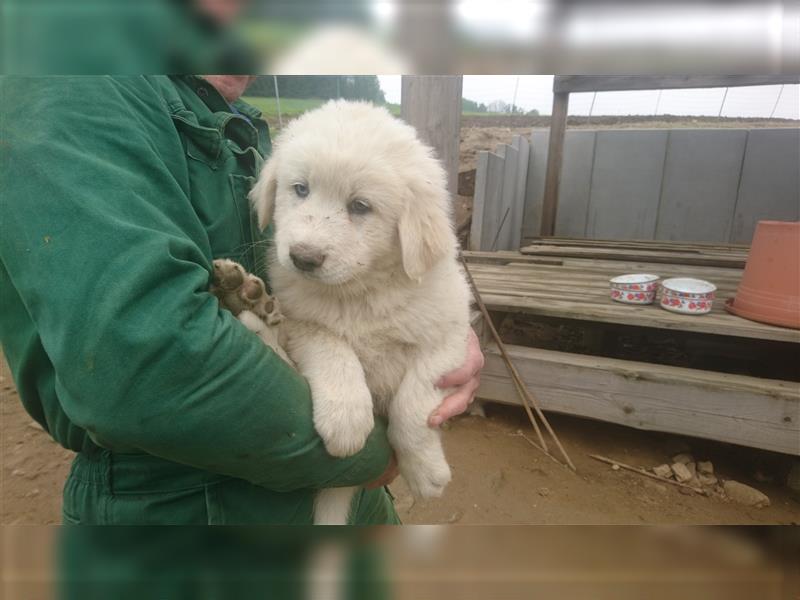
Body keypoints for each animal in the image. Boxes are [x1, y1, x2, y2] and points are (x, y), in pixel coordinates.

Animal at [250, 101, 472, 524]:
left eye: (360, 206)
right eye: (300, 189)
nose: (303, 258)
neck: (359, 294)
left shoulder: (450, 339)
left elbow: (412, 405)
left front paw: (426, 473)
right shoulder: (300, 321)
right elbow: (334, 350)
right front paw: (346, 419)